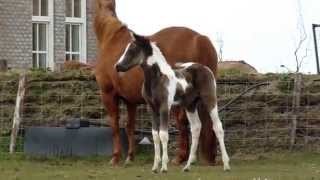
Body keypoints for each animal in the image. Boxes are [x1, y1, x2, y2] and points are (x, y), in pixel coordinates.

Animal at [95, 0, 219, 165]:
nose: (118, 66)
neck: (110, 38)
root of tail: (200, 39)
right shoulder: (130, 101)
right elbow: (129, 127)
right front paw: (130, 157)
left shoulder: (108, 94)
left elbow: (115, 126)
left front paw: (115, 157)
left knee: (183, 123)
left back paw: (180, 157)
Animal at [115, 33, 230, 173]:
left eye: (132, 49)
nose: (117, 66)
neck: (157, 79)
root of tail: (206, 68)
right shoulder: (152, 108)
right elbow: (155, 135)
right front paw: (155, 167)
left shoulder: (165, 107)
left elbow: (163, 134)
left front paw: (164, 167)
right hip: (190, 105)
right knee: (196, 128)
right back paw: (187, 166)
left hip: (210, 100)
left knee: (218, 127)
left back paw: (226, 165)